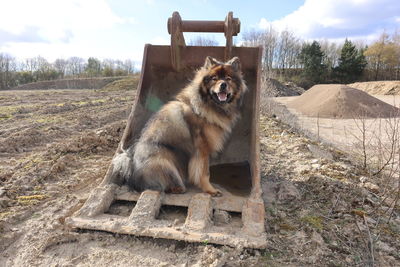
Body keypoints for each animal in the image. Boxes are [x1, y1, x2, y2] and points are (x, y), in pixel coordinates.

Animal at [112, 56, 247, 198]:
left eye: (228, 78)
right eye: (214, 78)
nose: (223, 85)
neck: (210, 106)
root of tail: (133, 175)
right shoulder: (202, 149)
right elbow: (204, 173)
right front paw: (210, 190)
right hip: (165, 163)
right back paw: (177, 188)